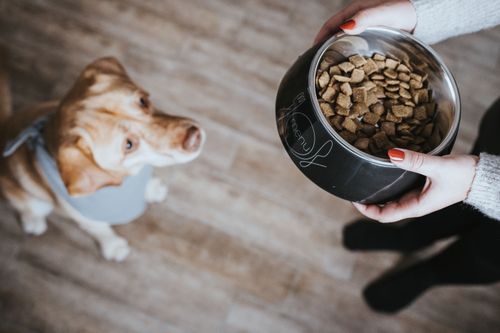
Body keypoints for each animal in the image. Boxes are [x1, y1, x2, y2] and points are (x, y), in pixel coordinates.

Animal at [0, 56, 205, 260]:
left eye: (143, 101)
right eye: (128, 145)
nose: (194, 137)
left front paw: (152, 188)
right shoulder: (88, 219)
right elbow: (102, 231)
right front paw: (113, 247)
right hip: (30, 201)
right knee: (27, 209)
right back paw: (33, 222)